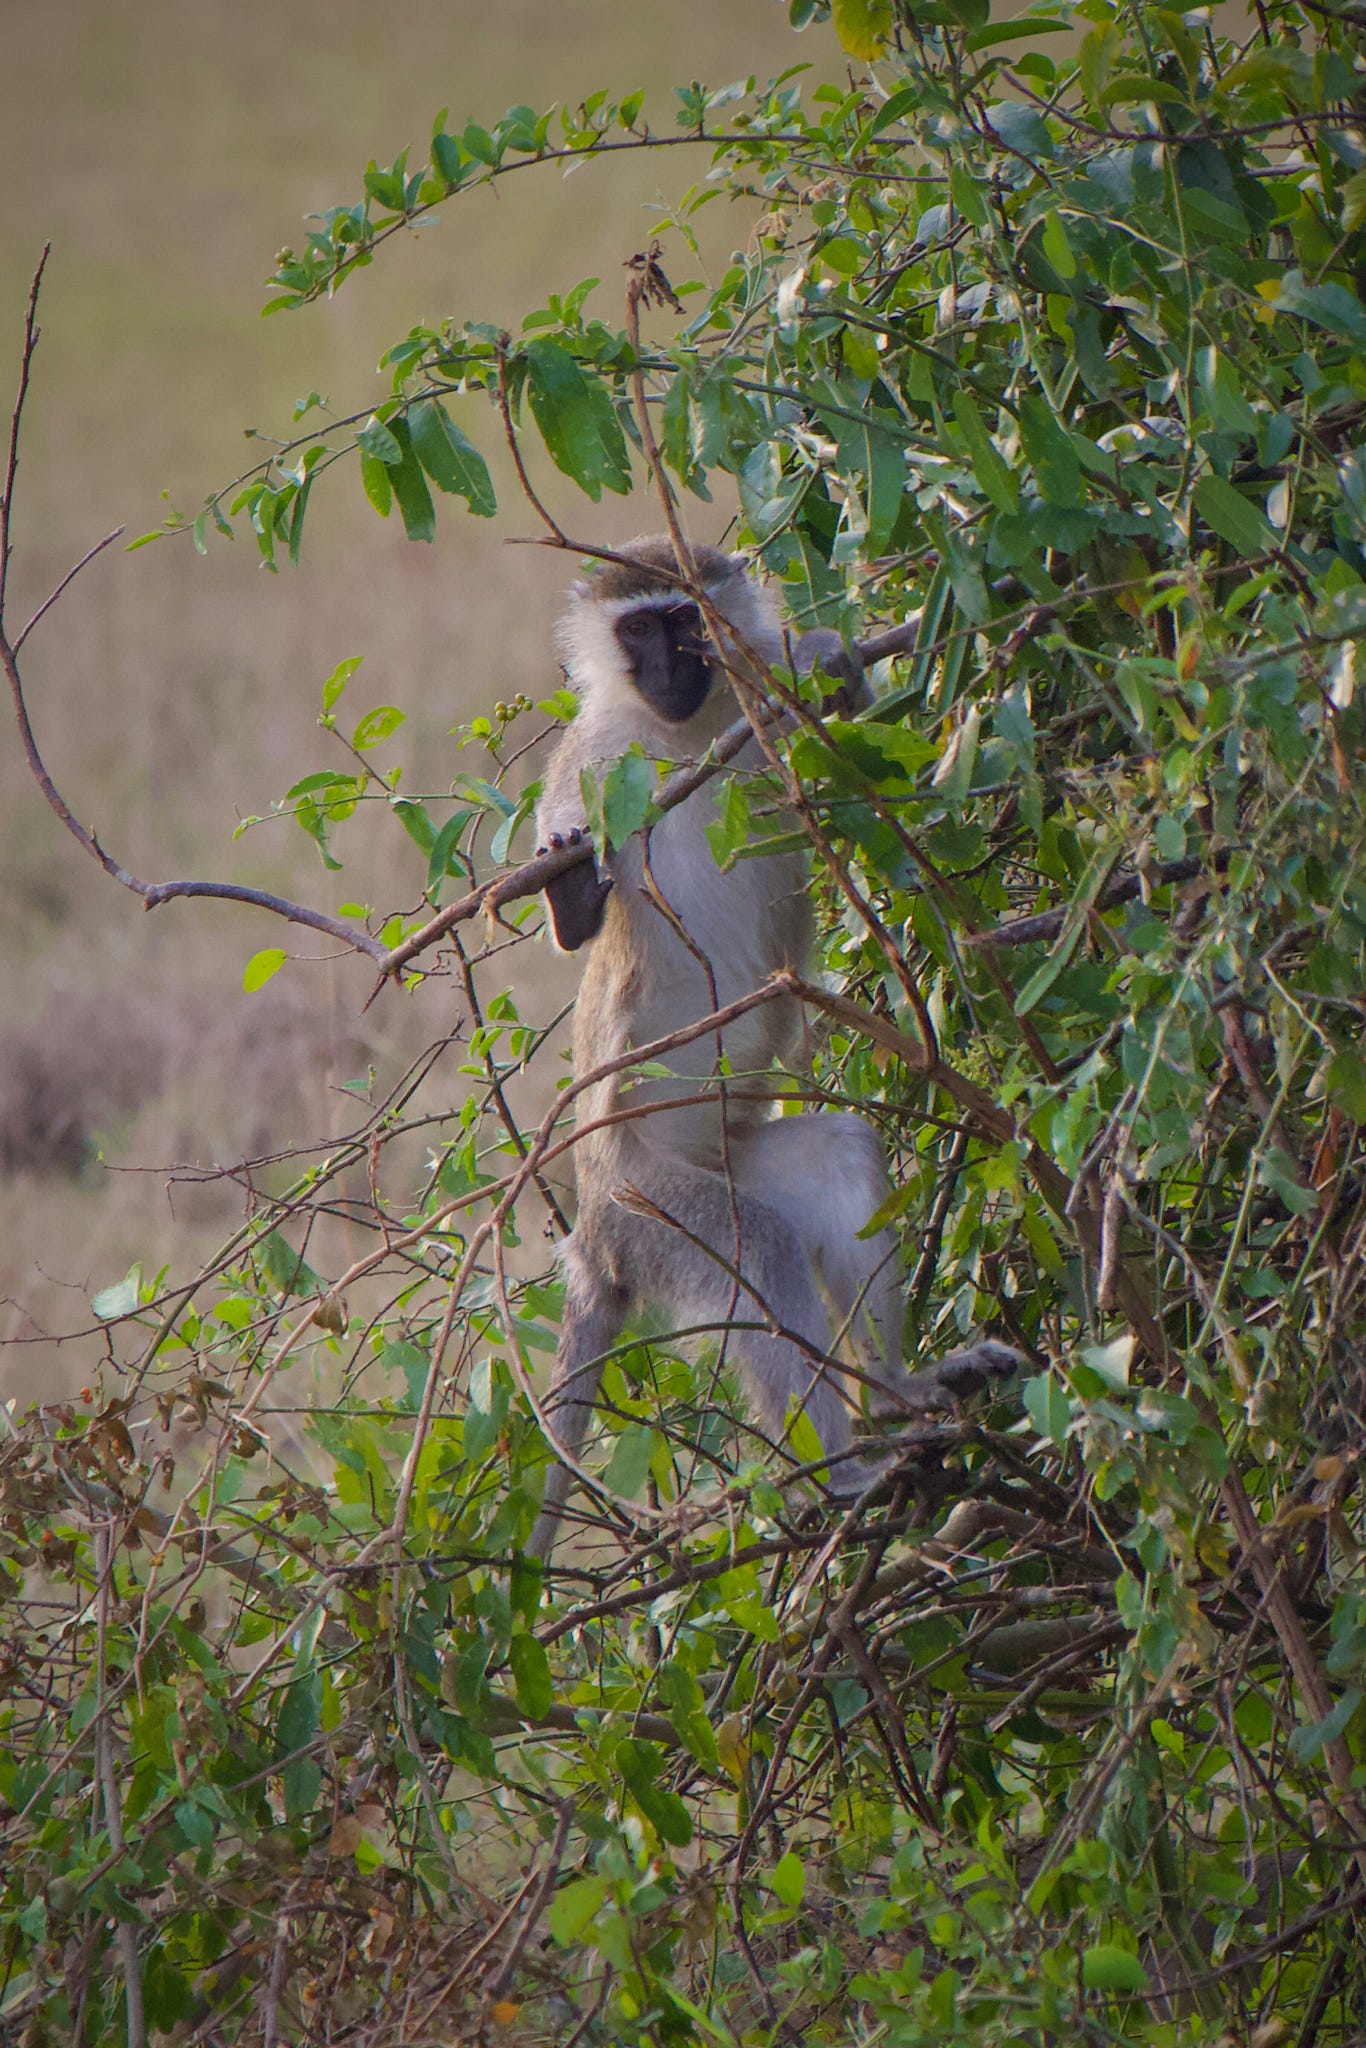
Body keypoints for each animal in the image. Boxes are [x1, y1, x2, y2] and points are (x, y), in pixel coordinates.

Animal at [526, 538, 1018, 1557]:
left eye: (686, 623)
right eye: (639, 629)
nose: (671, 668)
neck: (684, 738)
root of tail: (590, 1226)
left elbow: (859, 748)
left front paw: (831, 661)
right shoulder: (588, 762)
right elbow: (577, 914)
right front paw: (568, 889)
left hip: (730, 1158)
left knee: (840, 1158)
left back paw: (898, 1395)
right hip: (654, 1209)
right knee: (762, 1262)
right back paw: (850, 1476)